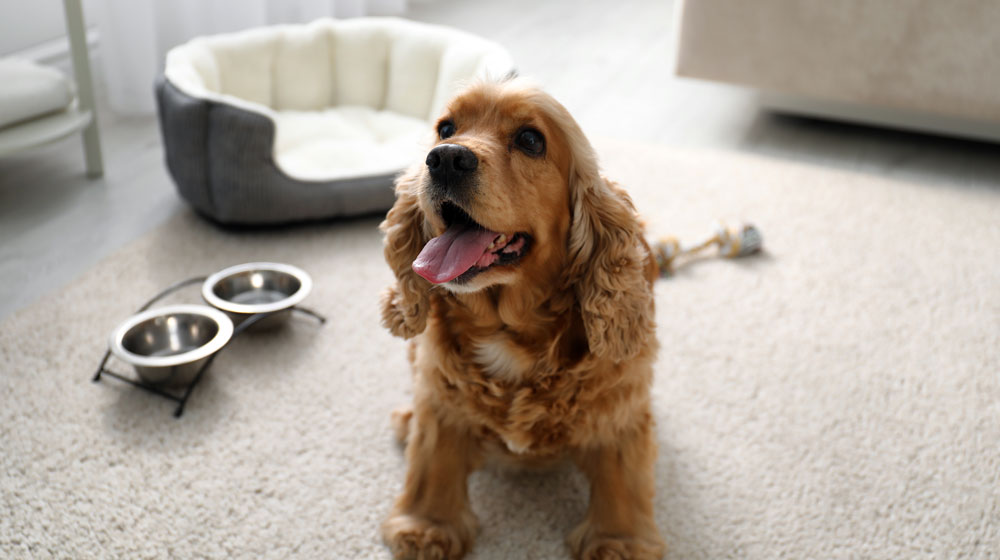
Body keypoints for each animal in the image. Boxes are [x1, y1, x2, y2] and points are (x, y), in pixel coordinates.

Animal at [376, 79, 664, 560]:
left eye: (531, 140)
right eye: (445, 128)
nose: (445, 158)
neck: (507, 329)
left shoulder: (618, 411)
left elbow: (621, 478)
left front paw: (617, 541)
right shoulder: (440, 397)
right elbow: (434, 460)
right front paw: (428, 526)